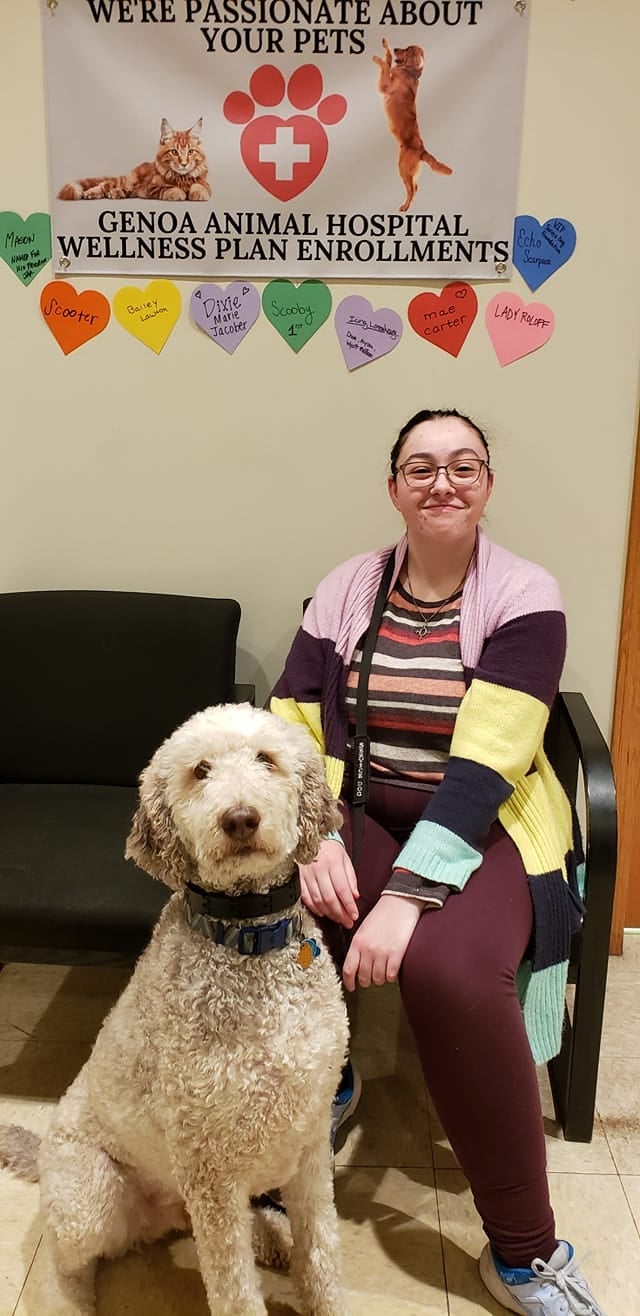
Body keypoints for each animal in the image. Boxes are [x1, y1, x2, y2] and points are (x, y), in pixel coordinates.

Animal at [0, 704, 350, 1316]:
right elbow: (235, 1292)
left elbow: (322, 1253)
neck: (247, 939)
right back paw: (70, 1300)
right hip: (90, 1197)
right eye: (200, 771)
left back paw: (272, 1234)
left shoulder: (310, 1144)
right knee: (62, 1262)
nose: (240, 818)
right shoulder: (210, 1173)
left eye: (266, 759)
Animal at [58, 118, 211, 202]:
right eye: (174, 152)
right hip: (128, 181)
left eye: (190, 152)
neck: (181, 178)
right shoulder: (153, 187)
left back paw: (115, 194)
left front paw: (198, 193)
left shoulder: (206, 183)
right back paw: (91, 193)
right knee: (104, 184)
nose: (184, 164)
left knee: (122, 191)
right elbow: (170, 188)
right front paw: (179, 193)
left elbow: (199, 186)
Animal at [373, 37, 452, 212]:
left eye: (408, 49)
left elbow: (386, 64)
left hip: (403, 168)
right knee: (415, 188)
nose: (396, 48)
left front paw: (378, 58)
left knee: (411, 189)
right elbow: (388, 60)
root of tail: (422, 149)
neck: (410, 72)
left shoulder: (385, 86)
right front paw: (386, 46)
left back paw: (404, 207)